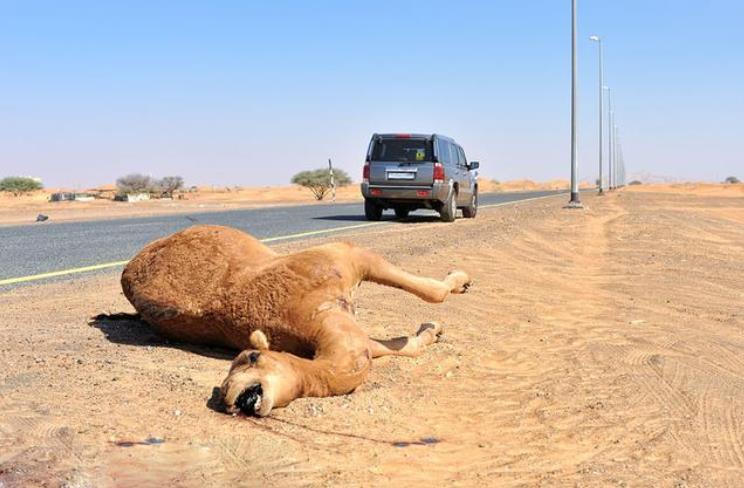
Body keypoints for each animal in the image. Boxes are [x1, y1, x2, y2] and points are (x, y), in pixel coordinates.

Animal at [121, 225, 470, 416]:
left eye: (252, 356)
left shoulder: (346, 257)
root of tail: (127, 269)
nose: (230, 396)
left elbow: (429, 299)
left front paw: (455, 291)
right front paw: (436, 324)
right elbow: (406, 337)